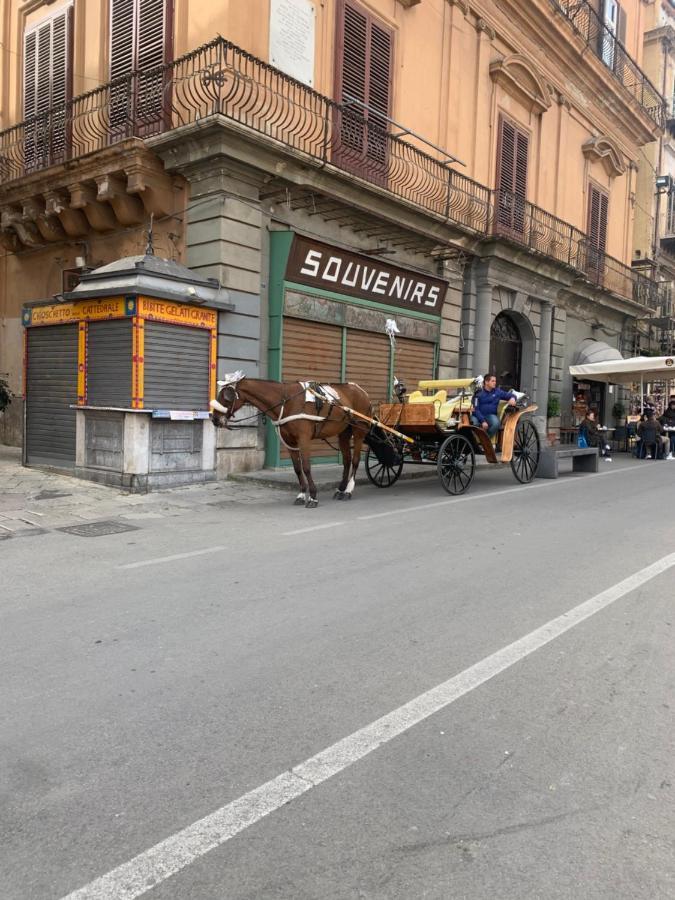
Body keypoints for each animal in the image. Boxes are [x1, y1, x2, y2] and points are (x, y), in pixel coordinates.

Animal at [209, 372, 372, 506]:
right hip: (344, 432)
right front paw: (302, 494)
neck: (286, 401)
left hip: (359, 430)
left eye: (227, 396)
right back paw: (341, 489)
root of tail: (361, 391)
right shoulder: (289, 442)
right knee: (347, 461)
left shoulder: (304, 439)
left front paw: (313, 496)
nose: (214, 419)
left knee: (355, 460)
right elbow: (297, 469)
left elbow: (306, 467)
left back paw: (348, 490)